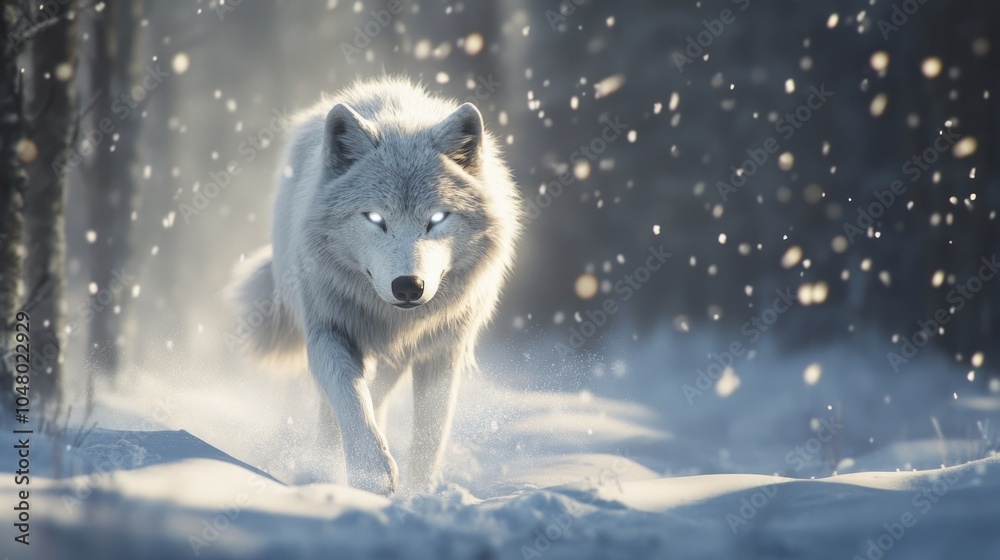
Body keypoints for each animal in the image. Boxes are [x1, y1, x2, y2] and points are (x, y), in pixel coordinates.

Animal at [230, 78, 521, 496]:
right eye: (375, 218)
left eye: (436, 219)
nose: (408, 287)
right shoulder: (327, 331)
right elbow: (350, 401)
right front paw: (371, 474)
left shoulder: (443, 350)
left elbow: (430, 435)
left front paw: (418, 494)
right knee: (337, 406)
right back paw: (321, 469)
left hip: (396, 359)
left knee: (377, 393)